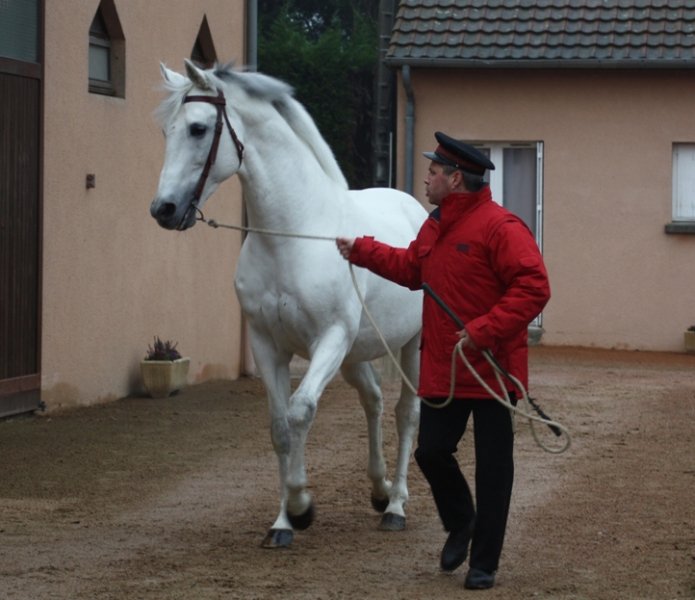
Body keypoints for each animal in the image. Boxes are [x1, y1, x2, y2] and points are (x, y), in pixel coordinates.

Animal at [150, 60, 427, 548]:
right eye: (168, 130)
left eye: (199, 128)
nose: (163, 209)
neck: (294, 234)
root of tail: (415, 208)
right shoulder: (267, 345)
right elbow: (279, 426)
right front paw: (281, 524)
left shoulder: (329, 340)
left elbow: (301, 412)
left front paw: (301, 507)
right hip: (356, 354)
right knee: (373, 401)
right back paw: (379, 492)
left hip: (410, 344)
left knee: (405, 413)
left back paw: (395, 506)